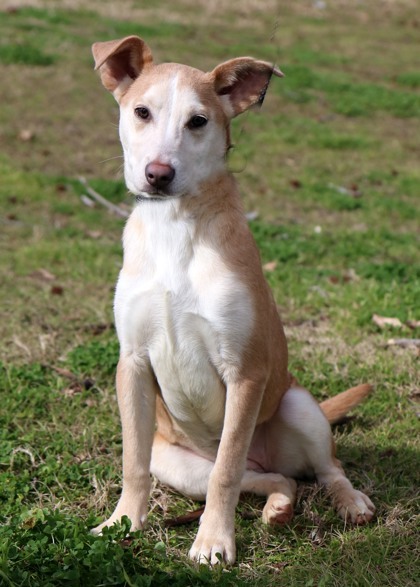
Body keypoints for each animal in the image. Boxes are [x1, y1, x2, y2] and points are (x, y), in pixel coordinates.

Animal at [91, 35, 374, 564]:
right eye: (141, 111)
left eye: (198, 121)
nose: (158, 174)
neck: (175, 226)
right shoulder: (132, 363)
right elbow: (133, 462)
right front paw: (121, 523)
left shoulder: (245, 372)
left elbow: (227, 471)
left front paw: (213, 543)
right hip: (178, 465)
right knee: (271, 478)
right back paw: (278, 507)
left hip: (298, 407)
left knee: (321, 469)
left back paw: (350, 502)